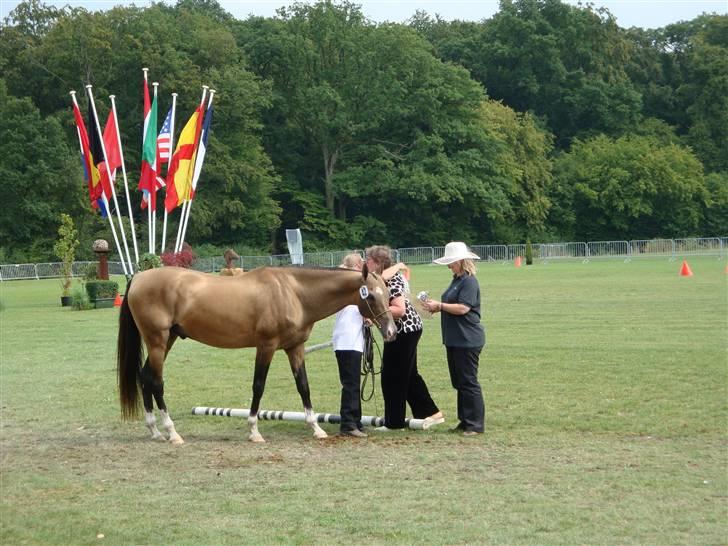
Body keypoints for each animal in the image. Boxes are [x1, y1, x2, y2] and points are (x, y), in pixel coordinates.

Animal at [118, 264, 398, 442]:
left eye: (388, 293)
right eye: (371, 296)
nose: (391, 331)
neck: (293, 292)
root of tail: (139, 277)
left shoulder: (295, 348)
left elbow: (303, 386)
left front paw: (316, 428)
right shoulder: (266, 346)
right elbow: (258, 386)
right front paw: (254, 431)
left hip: (167, 340)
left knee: (145, 377)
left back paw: (155, 431)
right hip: (157, 341)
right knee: (156, 382)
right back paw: (172, 433)